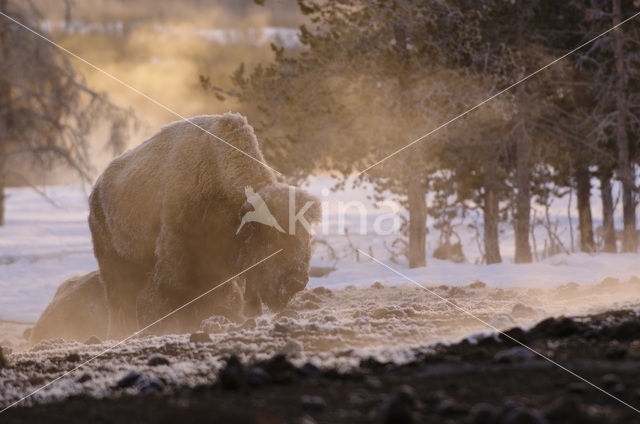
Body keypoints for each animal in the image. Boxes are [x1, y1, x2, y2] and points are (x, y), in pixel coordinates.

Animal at [90, 112, 320, 338]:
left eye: (308, 236)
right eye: (273, 238)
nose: (298, 281)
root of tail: (97, 187)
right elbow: (173, 291)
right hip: (113, 262)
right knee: (120, 299)